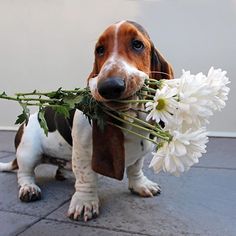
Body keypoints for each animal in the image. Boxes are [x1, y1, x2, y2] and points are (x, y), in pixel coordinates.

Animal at [0, 20, 173, 221]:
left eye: (137, 44)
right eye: (100, 50)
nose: (109, 87)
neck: (129, 117)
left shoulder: (140, 151)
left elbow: (135, 169)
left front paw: (141, 185)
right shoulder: (83, 152)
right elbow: (86, 177)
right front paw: (84, 203)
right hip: (28, 152)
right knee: (24, 173)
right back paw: (29, 189)